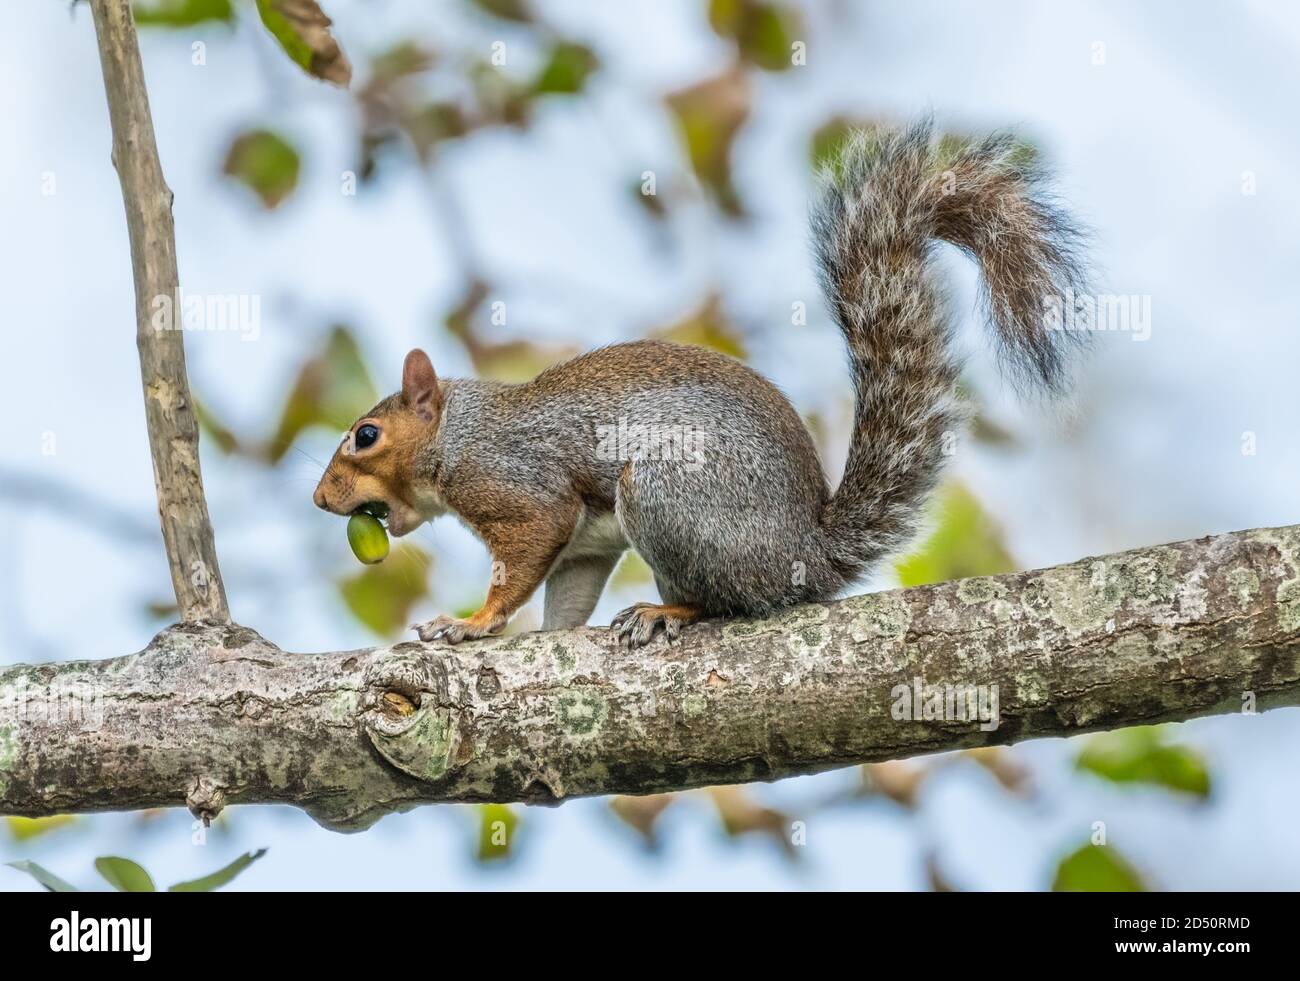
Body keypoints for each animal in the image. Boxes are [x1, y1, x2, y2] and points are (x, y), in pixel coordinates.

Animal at [312, 118, 1086, 649]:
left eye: (366, 435)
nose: (320, 499)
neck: (459, 435)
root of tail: (804, 555)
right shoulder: (585, 548)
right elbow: (567, 597)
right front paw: (544, 637)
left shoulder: (520, 489)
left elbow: (524, 555)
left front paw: (472, 625)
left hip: (667, 490)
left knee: (729, 603)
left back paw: (667, 610)